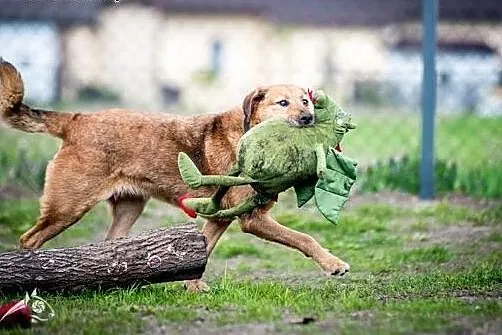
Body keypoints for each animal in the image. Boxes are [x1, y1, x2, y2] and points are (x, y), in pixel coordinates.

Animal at [0, 61, 350, 292]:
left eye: (305, 101)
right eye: (283, 103)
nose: (308, 119)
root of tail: (76, 120)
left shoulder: (220, 218)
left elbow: (204, 250)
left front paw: (192, 287)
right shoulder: (252, 220)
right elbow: (304, 238)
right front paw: (333, 264)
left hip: (129, 207)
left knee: (109, 249)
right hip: (67, 207)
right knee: (29, 240)